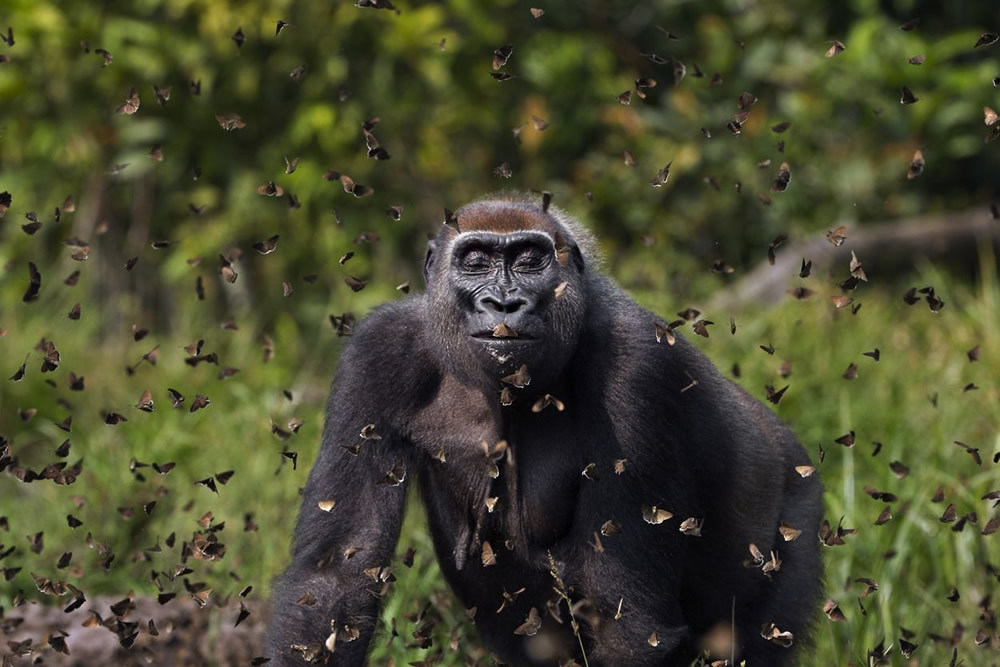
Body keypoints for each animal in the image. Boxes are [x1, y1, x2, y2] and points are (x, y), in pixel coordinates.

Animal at [266, 192, 820, 664]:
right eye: (475, 261)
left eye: (530, 259)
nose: (505, 304)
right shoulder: (378, 352)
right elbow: (336, 580)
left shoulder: (636, 363)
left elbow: (630, 624)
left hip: (797, 507)